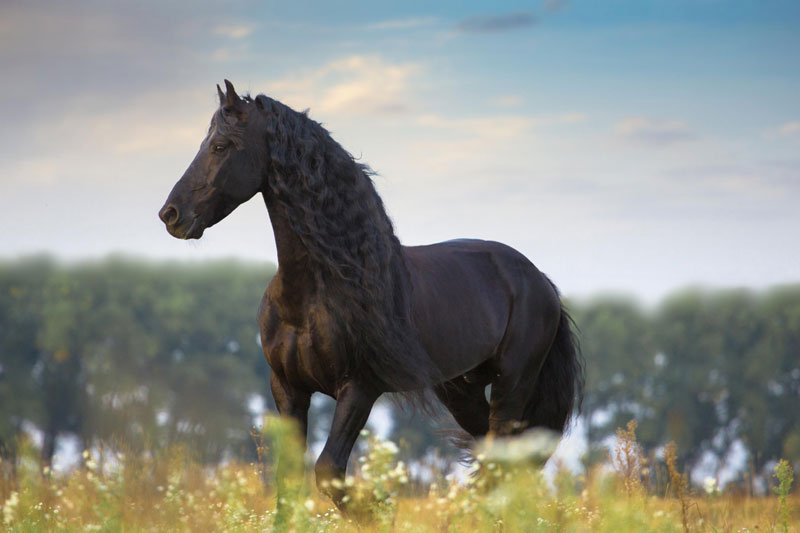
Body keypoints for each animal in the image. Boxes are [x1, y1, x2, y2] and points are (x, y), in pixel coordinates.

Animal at [159, 80, 583, 508]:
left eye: (221, 145)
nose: (171, 215)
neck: (310, 296)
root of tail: (540, 280)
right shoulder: (288, 388)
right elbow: (289, 479)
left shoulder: (359, 388)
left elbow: (329, 471)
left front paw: (380, 509)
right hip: (463, 389)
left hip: (513, 383)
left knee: (504, 461)